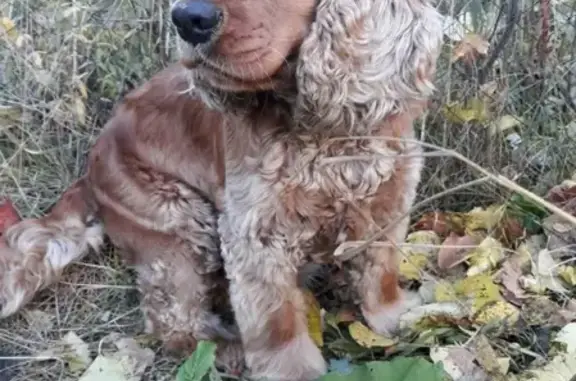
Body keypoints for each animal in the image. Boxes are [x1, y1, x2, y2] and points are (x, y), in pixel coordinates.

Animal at [0, 1, 446, 378]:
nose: (187, 18)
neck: (323, 135)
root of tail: (90, 167)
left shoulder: (391, 200)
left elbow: (380, 273)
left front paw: (398, 318)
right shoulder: (255, 233)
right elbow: (276, 321)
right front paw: (294, 372)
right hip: (177, 222)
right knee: (174, 322)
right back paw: (226, 350)